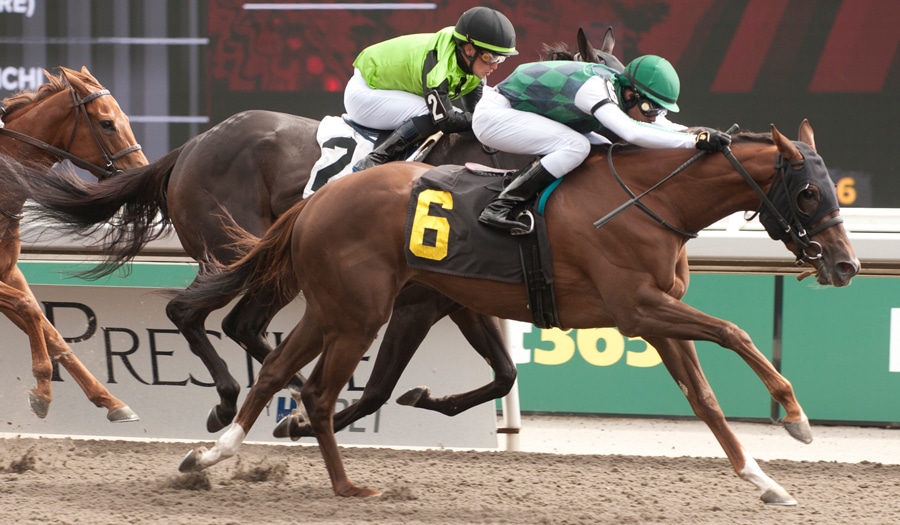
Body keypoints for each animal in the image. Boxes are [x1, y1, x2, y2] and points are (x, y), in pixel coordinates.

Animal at [0, 66, 147, 421]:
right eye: (107, 123)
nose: (142, 174)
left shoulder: (9, 272)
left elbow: (49, 330)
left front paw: (111, 401)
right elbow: (29, 308)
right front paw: (42, 392)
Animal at [21, 30, 623, 436]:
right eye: (620, 93)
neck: (492, 150)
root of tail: (191, 146)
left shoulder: (455, 295)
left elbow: (503, 375)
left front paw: (421, 398)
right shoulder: (421, 296)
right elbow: (396, 382)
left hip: (273, 264)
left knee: (241, 325)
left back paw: (283, 392)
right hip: (236, 251)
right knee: (192, 314)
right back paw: (230, 402)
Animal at [175, 121, 859, 505]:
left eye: (834, 188)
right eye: (807, 192)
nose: (846, 264)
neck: (650, 200)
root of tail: (318, 198)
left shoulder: (660, 317)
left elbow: (707, 400)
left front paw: (766, 482)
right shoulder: (639, 310)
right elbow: (735, 332)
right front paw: (797, 419)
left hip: (334, 308)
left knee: (280, 373)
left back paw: (212, 457)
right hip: (358, 314)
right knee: (312, 389)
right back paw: (332, 480)